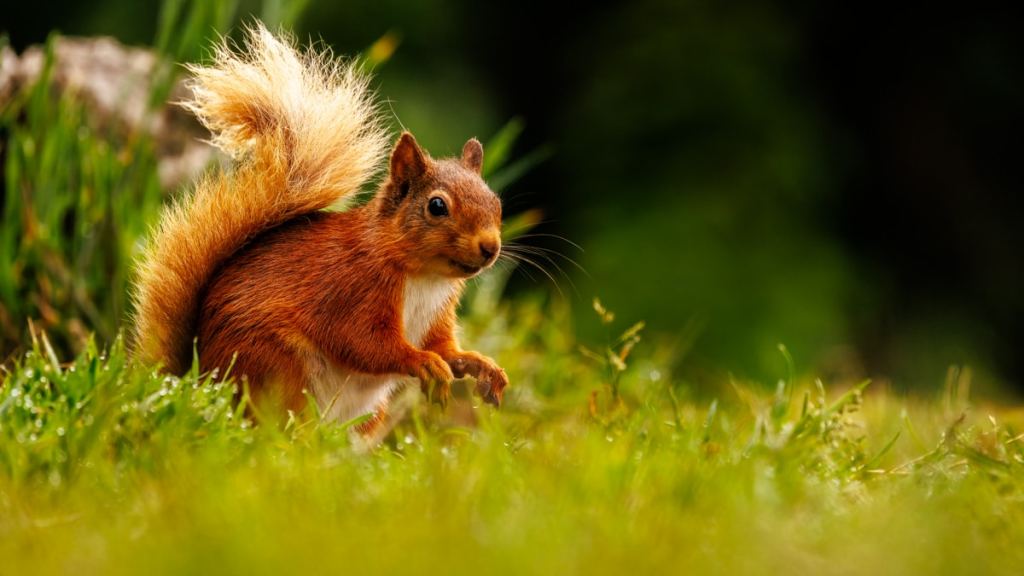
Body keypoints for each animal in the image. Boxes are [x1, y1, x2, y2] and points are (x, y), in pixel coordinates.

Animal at [131, 24, 509, 437]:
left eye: (496, 202)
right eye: (437, 206)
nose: (490, 247)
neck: (425, 278)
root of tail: (199, 384)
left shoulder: (437, 317)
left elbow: (447, 350)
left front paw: (480, 365)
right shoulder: (352, 291)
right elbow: (366, 344)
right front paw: (423, 362)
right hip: (277, 367)